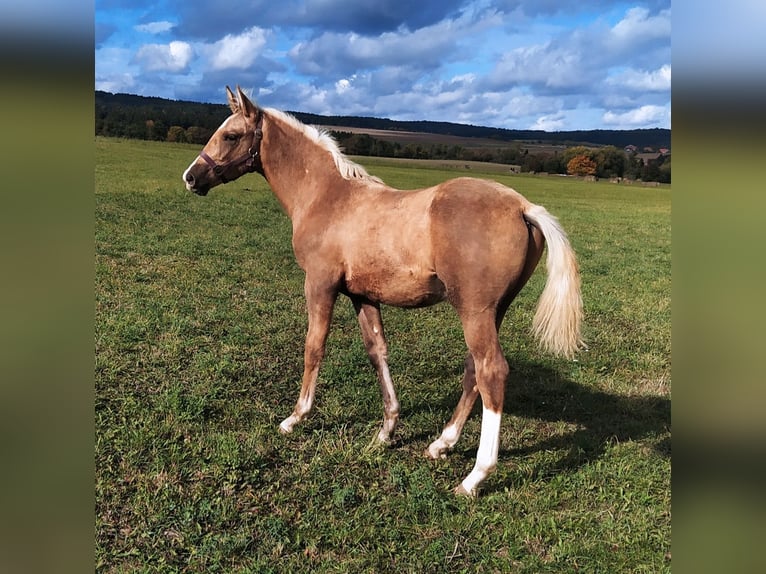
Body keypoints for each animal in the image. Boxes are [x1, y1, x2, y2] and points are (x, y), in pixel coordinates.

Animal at [183, 88, 584, 498]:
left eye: (231, 135)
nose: (191, 177)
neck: (327, 197)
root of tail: (523, 207)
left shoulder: (320, 284)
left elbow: (314, 347)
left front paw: (295, 418)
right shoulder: (362, 295)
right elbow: (377, 352)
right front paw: (387, 430)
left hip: (475, 310)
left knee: (491, 371)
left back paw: (475, 476)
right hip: (494, 310)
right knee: (474, 369)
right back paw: (442, 443)